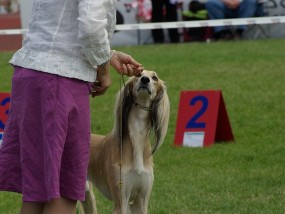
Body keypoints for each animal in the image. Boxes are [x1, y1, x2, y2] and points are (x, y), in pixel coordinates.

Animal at [80, 70, 169, 214]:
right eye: (139, 74)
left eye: (154, 77)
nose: (145, 80)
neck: (137, 138)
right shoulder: (122, 200)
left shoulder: (141, 201)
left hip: (88, 196)